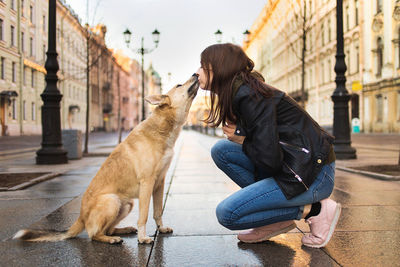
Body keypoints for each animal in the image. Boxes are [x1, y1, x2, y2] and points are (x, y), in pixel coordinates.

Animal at [13, 75, 199, 245]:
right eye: (179, 85)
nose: (196, 74)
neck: (162, 128)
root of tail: (80, 218)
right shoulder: (147, 183)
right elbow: (144, 215)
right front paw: (142, 238)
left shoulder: (159, 183)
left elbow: (157, 211)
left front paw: (161, 228)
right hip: (112, 201)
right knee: (94, 234)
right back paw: (111, 239)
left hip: (127, 204)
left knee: (107, 229)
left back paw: (122, 230)